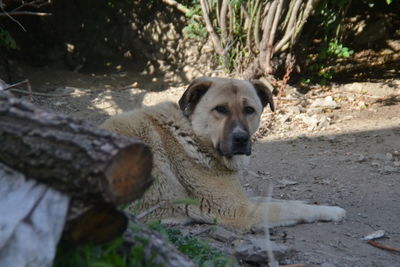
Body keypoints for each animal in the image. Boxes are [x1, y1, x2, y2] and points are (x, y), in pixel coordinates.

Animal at [101, 77, 346, 232]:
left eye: (249, 110)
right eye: (220, 109)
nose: (241, 139)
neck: (193, 133)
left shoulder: (241, 199)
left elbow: (272, 198)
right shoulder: (239, 210)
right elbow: (289, 207)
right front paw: (330, 211)